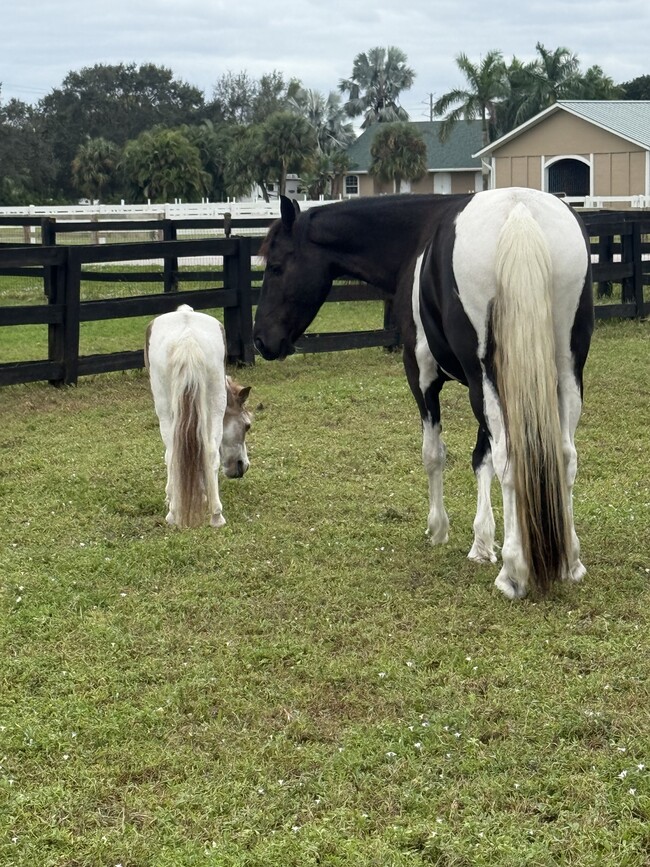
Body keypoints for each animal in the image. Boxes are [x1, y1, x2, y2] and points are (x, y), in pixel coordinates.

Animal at [145, 306, 251, 528]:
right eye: (247, 426)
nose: (243, 466)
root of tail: (188, 337)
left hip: (166, 408)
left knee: (173, 454)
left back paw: (175, 514)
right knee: (209, 453)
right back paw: (216, 515)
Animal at [253, 189, 592, 596]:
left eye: (276, 267)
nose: (261, 340)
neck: (415, 241)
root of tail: (519, 210)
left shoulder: (423, 373)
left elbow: (435, 454)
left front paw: (439, 529)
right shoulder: (479, 388)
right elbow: (481, 458)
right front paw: (482, 543)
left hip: (490, 378)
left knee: (512, 457)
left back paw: (514, 571)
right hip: (564, 371)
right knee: (564, 455)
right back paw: (570, 561)